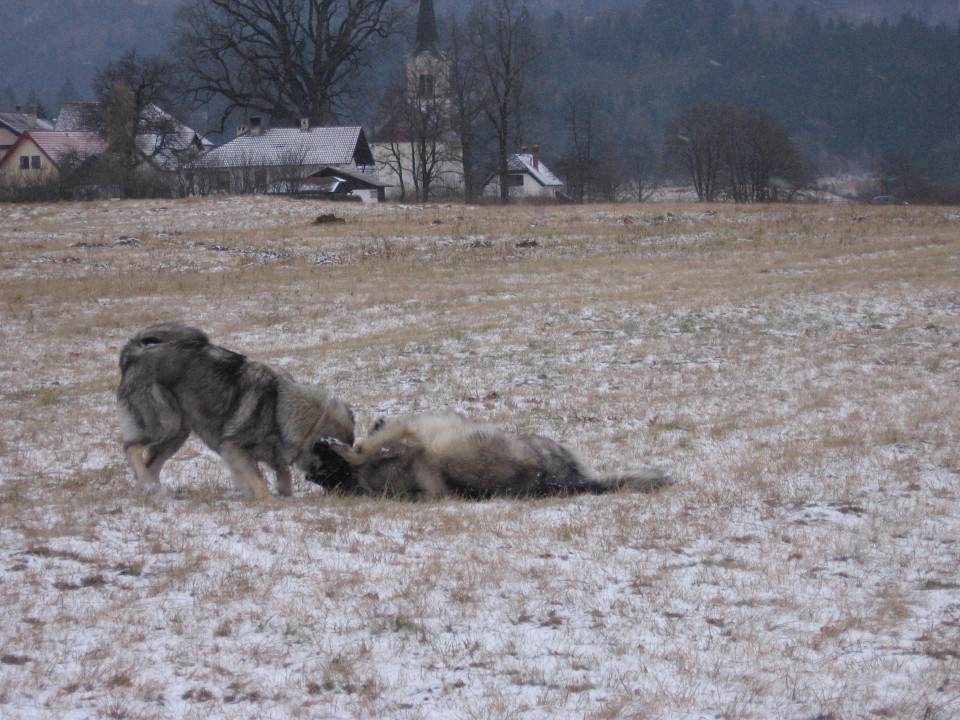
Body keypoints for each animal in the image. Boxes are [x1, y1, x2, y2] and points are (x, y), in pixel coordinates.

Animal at [116, 324, 354, 498]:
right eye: (336, 466)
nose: (346, 492)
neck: (279, 409)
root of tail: (135, 352)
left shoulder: (269, 452)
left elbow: (283, 472)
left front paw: (284, 494)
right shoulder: (235, 449)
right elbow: (259, 481)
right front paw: (269, 500)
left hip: (177, 434)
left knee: (152, 464)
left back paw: (155, 491)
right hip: (166, 423)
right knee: (131, 448)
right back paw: (148, 484)